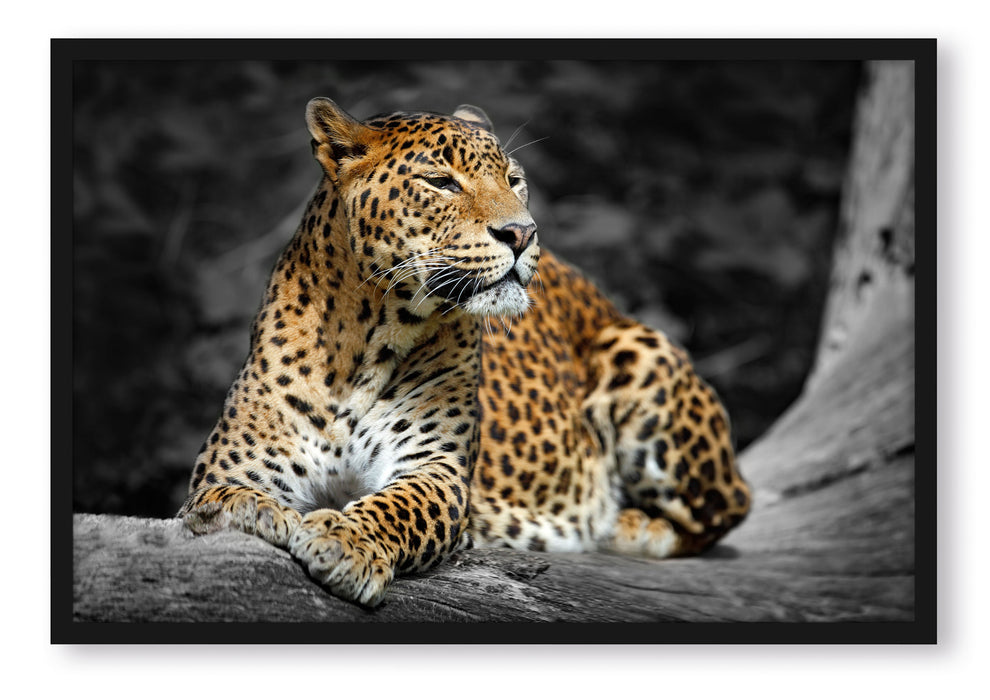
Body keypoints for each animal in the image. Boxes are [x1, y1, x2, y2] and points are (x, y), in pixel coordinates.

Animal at [179, 97, 751, 608]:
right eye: (441, 182)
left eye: (514, 180)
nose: (522, 232)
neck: (366, 339)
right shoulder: (231, 467)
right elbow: (221, 500)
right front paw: (258, 513)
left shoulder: (438, 469)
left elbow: (397, 507)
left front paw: (344, 541)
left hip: (640, 351)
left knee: (728, 507)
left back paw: (623, 523)